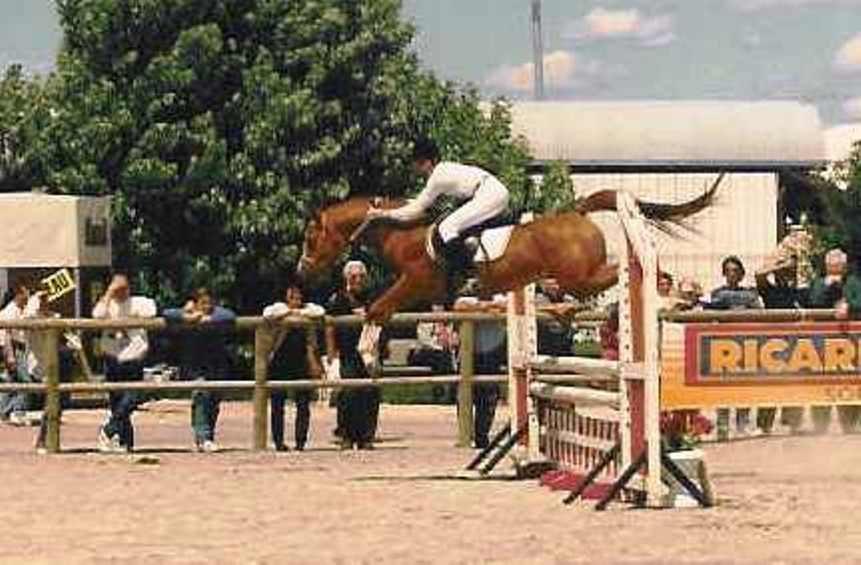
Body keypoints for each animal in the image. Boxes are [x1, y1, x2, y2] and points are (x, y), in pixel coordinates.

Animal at [298, 176, 724, 326]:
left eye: (311, 239)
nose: (301, 272)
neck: (405, 235)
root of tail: (576, 213)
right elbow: (380, 311)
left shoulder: (416, 283)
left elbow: (376, 309)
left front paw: (369, 355)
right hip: (575, 277)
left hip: (580, 276)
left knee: (620, 272)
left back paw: (666, 295)